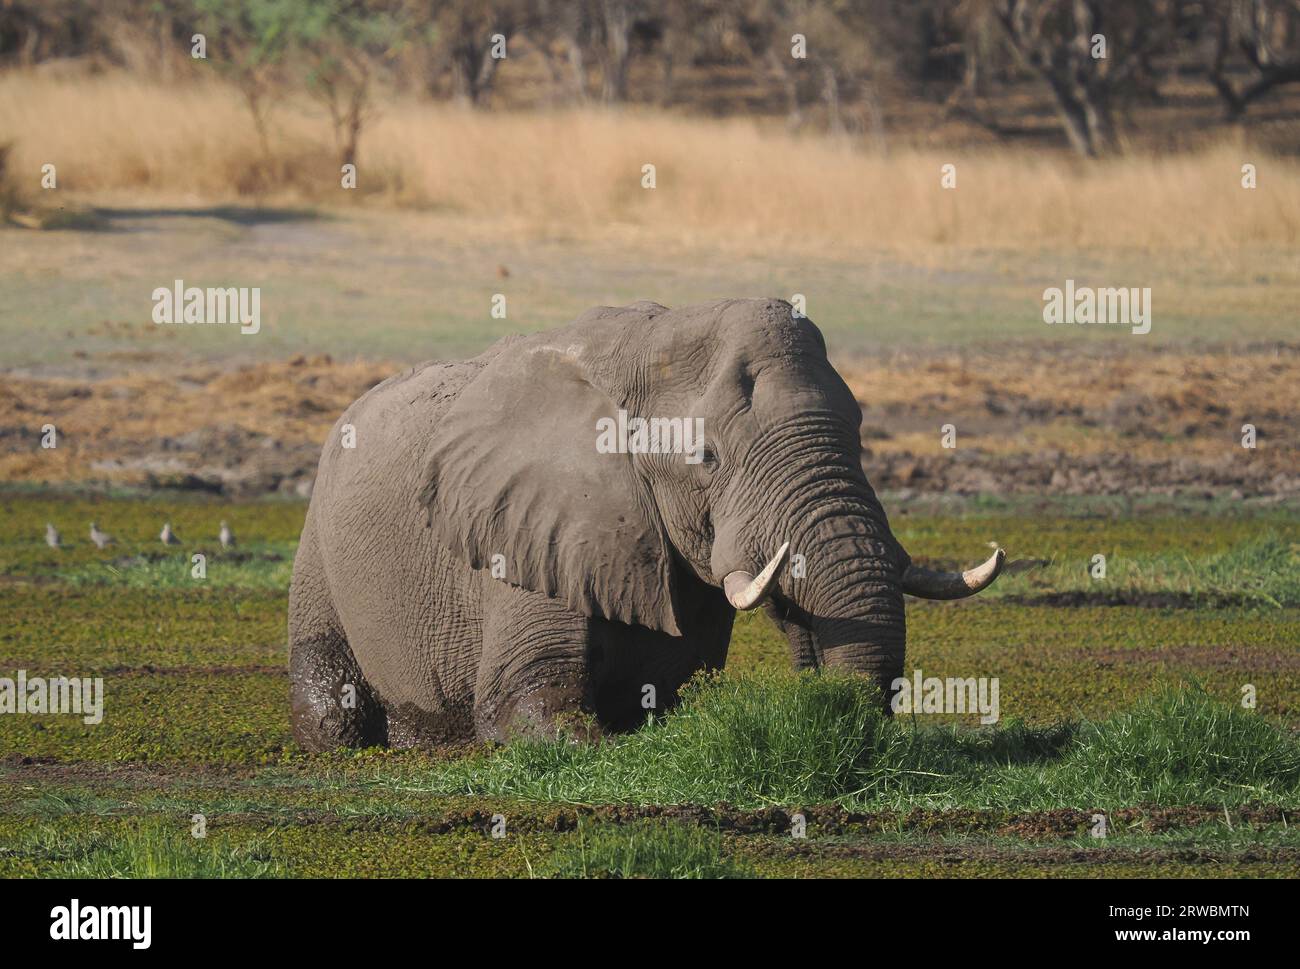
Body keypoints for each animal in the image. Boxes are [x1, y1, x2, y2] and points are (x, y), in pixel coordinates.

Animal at [292, 295, 1003, 749]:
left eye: (859, 438)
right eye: (706, 457)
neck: (646, 348)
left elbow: (663, 690)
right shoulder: (527, 529)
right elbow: (528, 708)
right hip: (316, 552)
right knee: (331, 709)